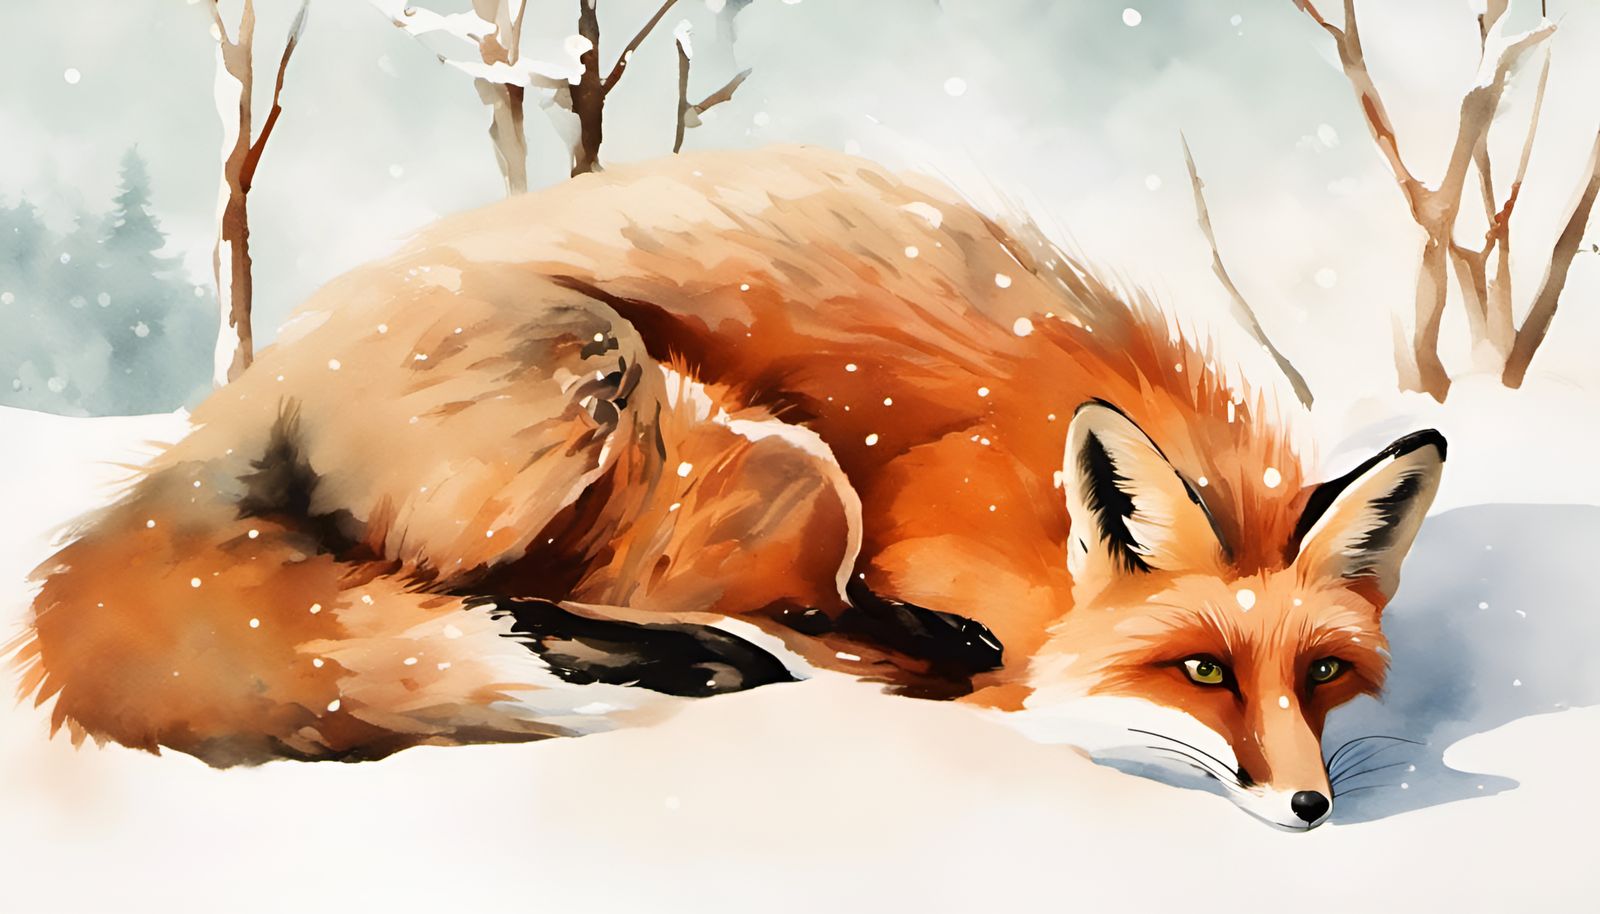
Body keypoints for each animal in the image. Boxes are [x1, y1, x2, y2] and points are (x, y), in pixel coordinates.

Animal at [9, 146, 1443, 830]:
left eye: (1321, 672)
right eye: (1199, 668)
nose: (1310, 805)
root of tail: (252, 394)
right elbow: (924, 658)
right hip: (701, 419)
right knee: (495, 591)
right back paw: (694, 657)